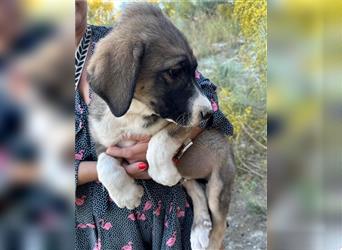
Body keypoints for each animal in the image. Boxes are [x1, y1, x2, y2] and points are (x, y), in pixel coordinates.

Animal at [87, 3, 235, 250]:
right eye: (174, 72)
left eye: (195, 71)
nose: (209, 114)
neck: (134, 112)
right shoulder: (103, 139)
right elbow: (104, 163)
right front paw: (126, 195)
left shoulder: (186, 122)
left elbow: (160, 140)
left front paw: (163, 173)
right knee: (197, 191)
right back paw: (199, 228)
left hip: (219, 183)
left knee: (220, 224)